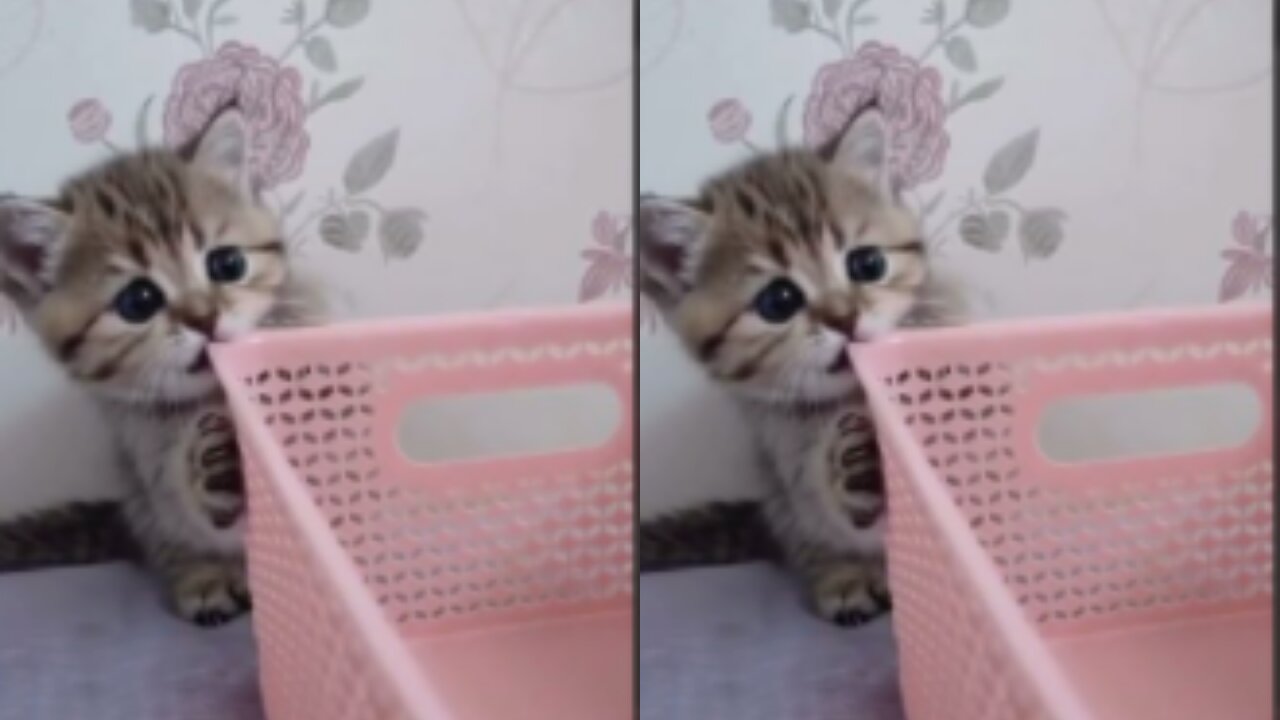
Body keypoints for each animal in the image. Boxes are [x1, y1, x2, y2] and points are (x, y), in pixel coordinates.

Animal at [0, 102, 325, 622]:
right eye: (139, 301)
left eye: (227, 264)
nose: (205, 317)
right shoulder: (149, 455)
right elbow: (205, 513)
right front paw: (216, 462)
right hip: (141, 499)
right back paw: (205, 574)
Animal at [634, 105, 962, 622]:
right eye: (779, 301)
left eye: (867, 264)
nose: (845, 318)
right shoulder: (790, 457)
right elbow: (849, 515)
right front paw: (856, 462)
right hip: (782, 501)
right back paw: (845, 575)